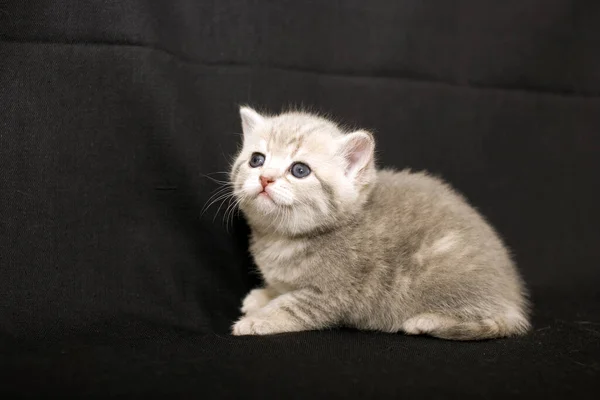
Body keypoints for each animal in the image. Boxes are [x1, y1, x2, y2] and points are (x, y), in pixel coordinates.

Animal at [226, 107, 528, 340]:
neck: (282, 238)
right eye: (257, 159)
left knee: (494, 322)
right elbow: (281, 290)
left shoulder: (332, 294)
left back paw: (426, 321)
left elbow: (289, 306)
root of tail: (512, 297)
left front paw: (256, 320)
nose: (265, 178)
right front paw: (263, 296)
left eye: (300, 170)